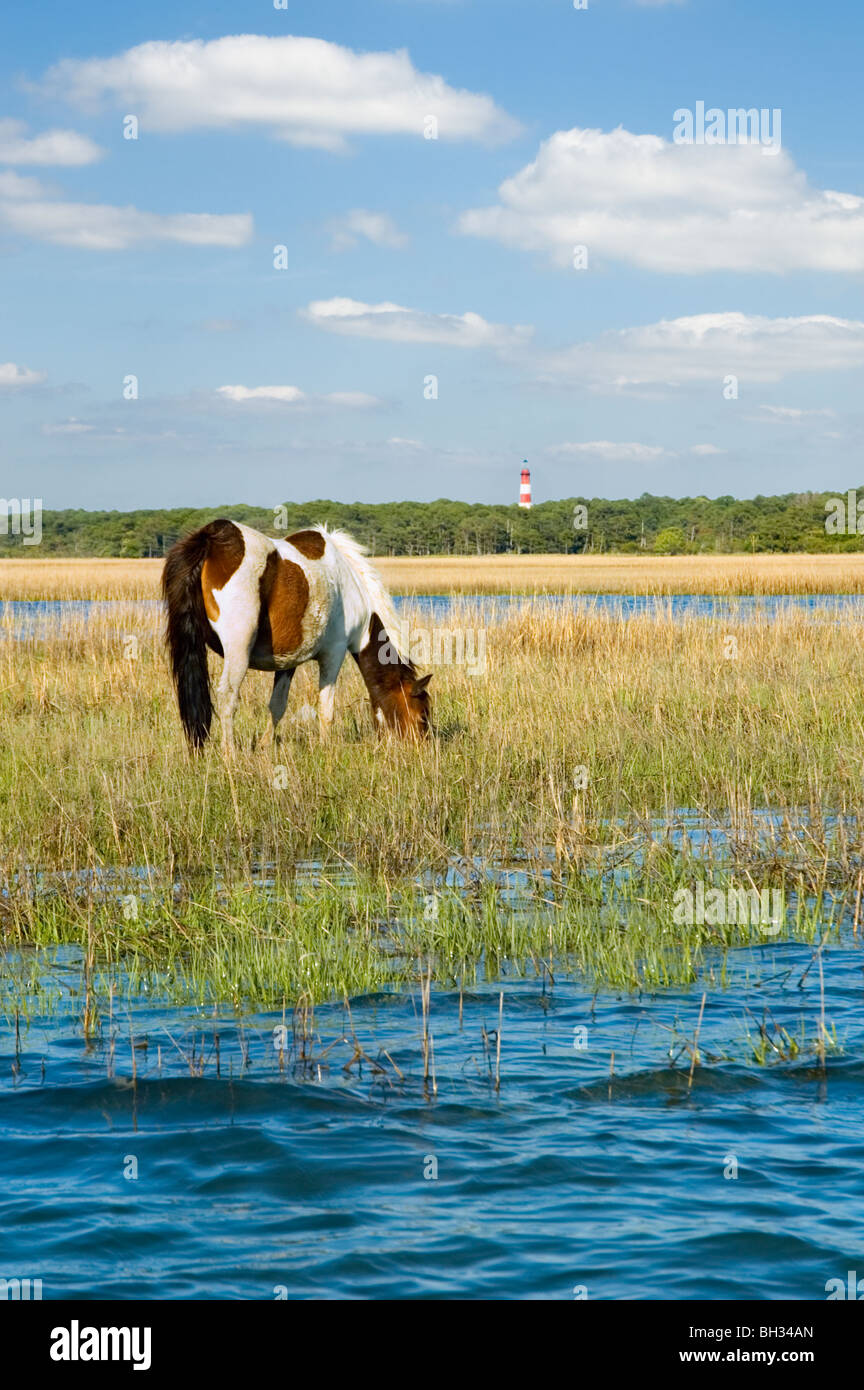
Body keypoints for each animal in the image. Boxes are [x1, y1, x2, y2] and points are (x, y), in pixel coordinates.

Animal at [161, 519, 430, 756]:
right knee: (228, 696)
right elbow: (326, 708)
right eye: (422, 715)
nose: (422, 749)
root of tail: (213, 537)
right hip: (238, 651)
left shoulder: (287, 660)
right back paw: (230, 755)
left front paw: (265, 746)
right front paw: (326, 748)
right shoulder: (334, 653)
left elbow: (277, 705)